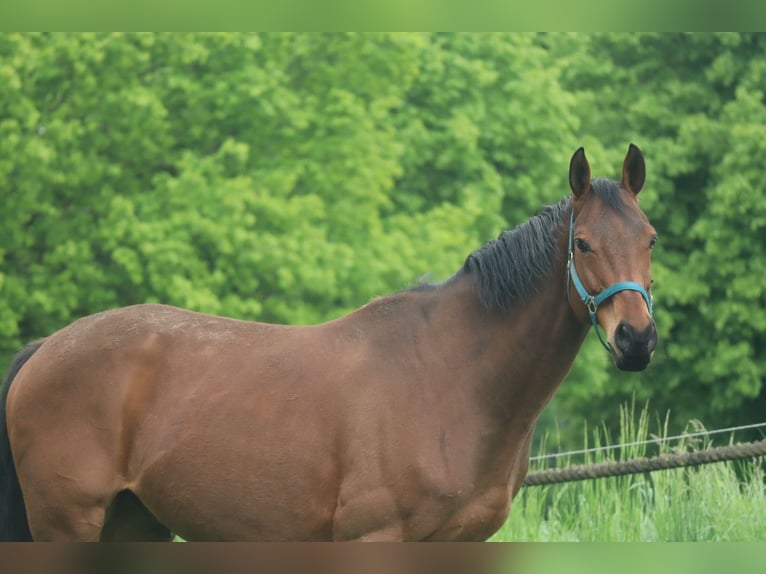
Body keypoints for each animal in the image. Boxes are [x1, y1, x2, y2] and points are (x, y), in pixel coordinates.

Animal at [0, 144, 657, 541]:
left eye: (650, 238)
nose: (637, 340)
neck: (450, 379)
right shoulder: (376, 538)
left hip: (133, 522)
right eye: (583, 244)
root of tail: (44, 351)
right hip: (66, 525)